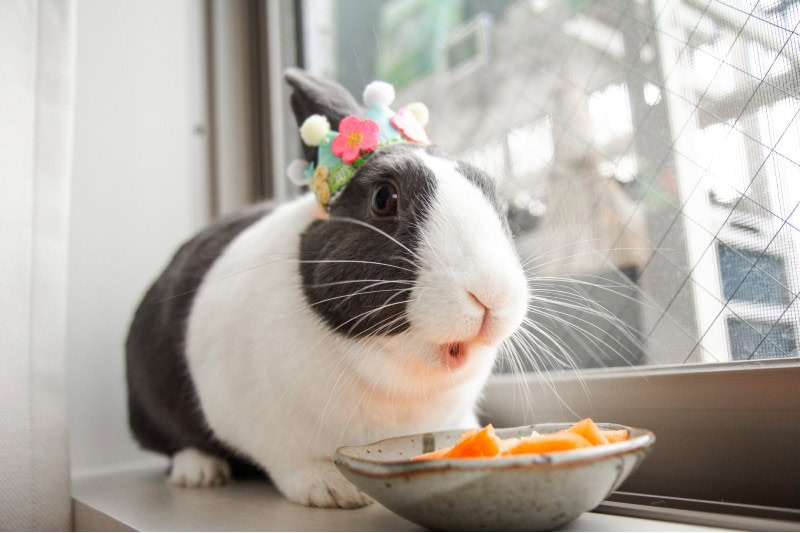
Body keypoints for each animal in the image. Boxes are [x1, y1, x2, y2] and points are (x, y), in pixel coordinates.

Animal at [125, 68, 528, 508]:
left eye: (493, 195)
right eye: (383, 199)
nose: (491, 293)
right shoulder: (266, 429)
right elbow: (295, 462)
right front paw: (335, 490)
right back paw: (198, 472)